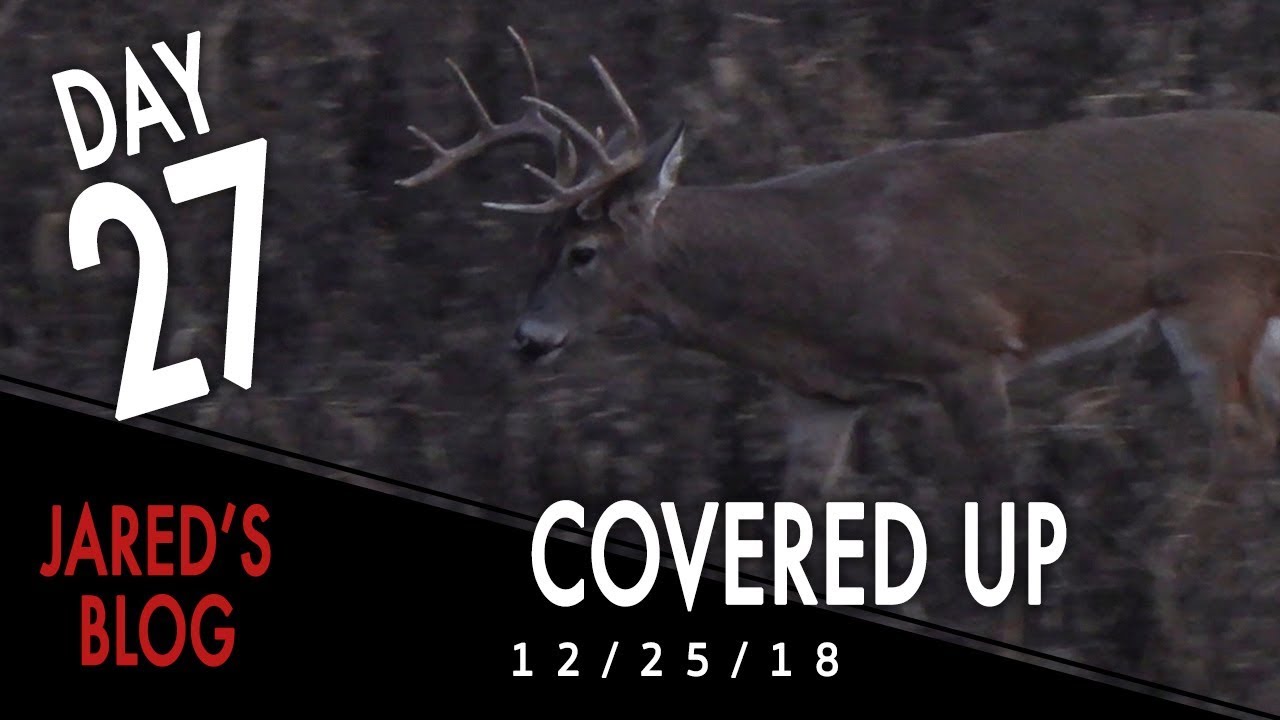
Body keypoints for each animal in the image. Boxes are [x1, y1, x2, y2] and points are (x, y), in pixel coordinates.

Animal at [396, 28, 1280, 558]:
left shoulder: (966, 348)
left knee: (1239, 436)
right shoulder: (820, 397)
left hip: (1215, 293)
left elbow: (1001, 505)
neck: (812, 280)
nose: (526, 338)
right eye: (534, 246)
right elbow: (791, 527)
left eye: (582, 252)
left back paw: (1185, 572)